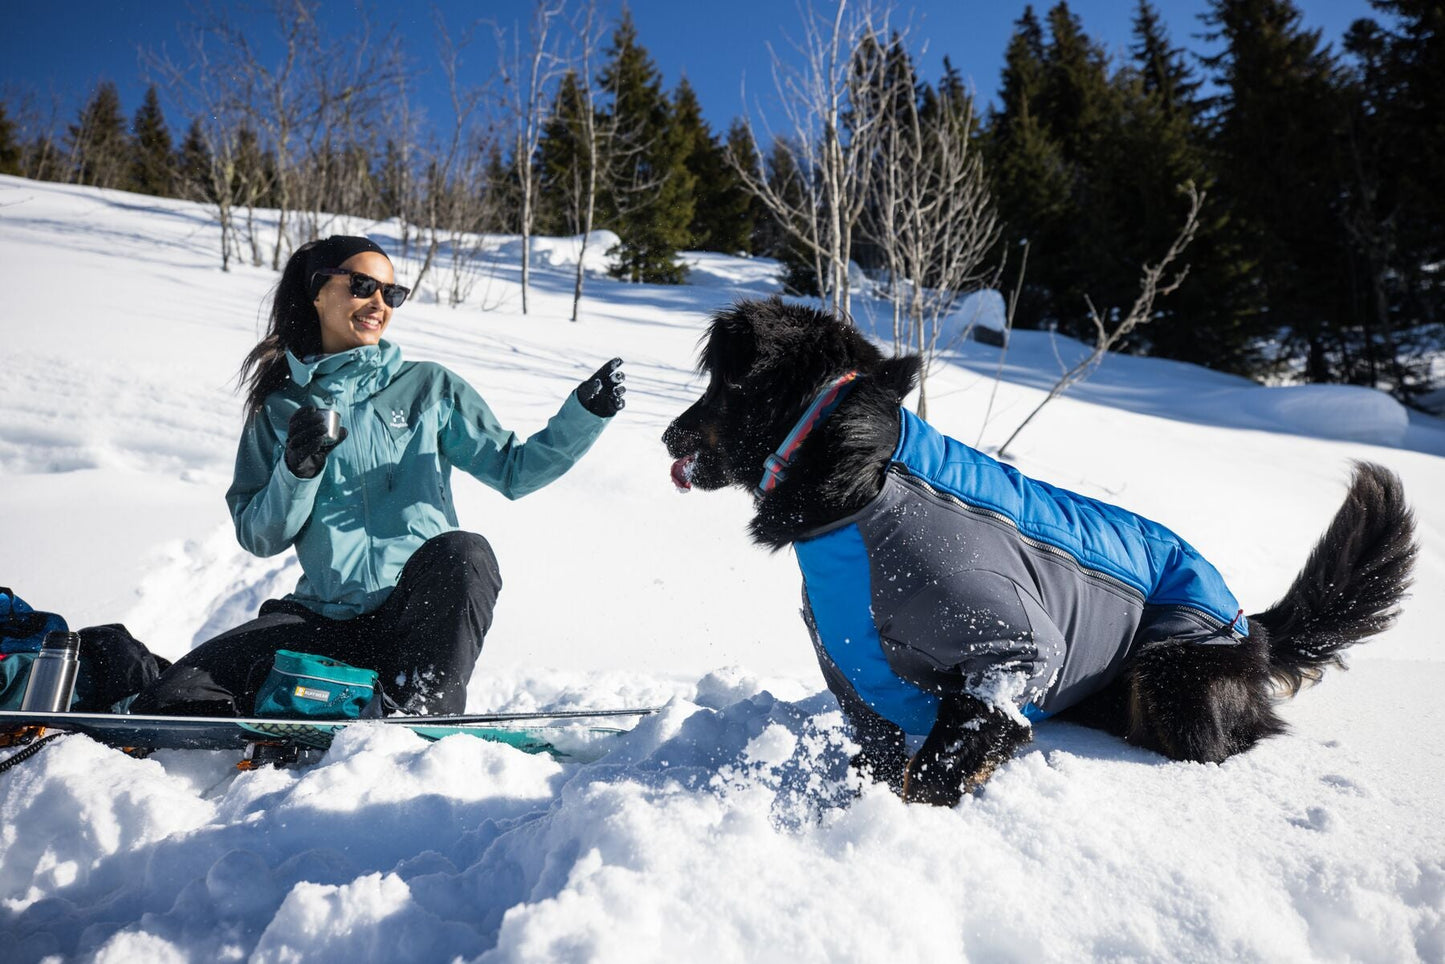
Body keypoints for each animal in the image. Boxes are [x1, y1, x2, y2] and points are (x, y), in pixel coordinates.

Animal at [664, 296, 1421, 809]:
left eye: (722, 385)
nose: (670, 435)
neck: (864, 483)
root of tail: (1252, 630)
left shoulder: (1005, 654)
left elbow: (933, 769)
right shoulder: (852, 669)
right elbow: (879, 753)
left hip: (1170, 675)